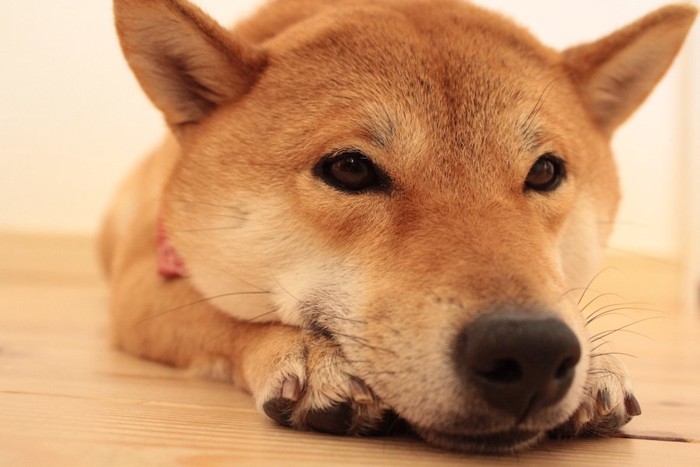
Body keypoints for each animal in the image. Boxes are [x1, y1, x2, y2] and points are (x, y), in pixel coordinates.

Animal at [101, 0, 696, 454]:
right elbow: (221, 318)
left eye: (546, 171)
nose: (532, 351)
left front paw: (596, 368)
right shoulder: (142, 282)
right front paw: (308, 355)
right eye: (350, 168)